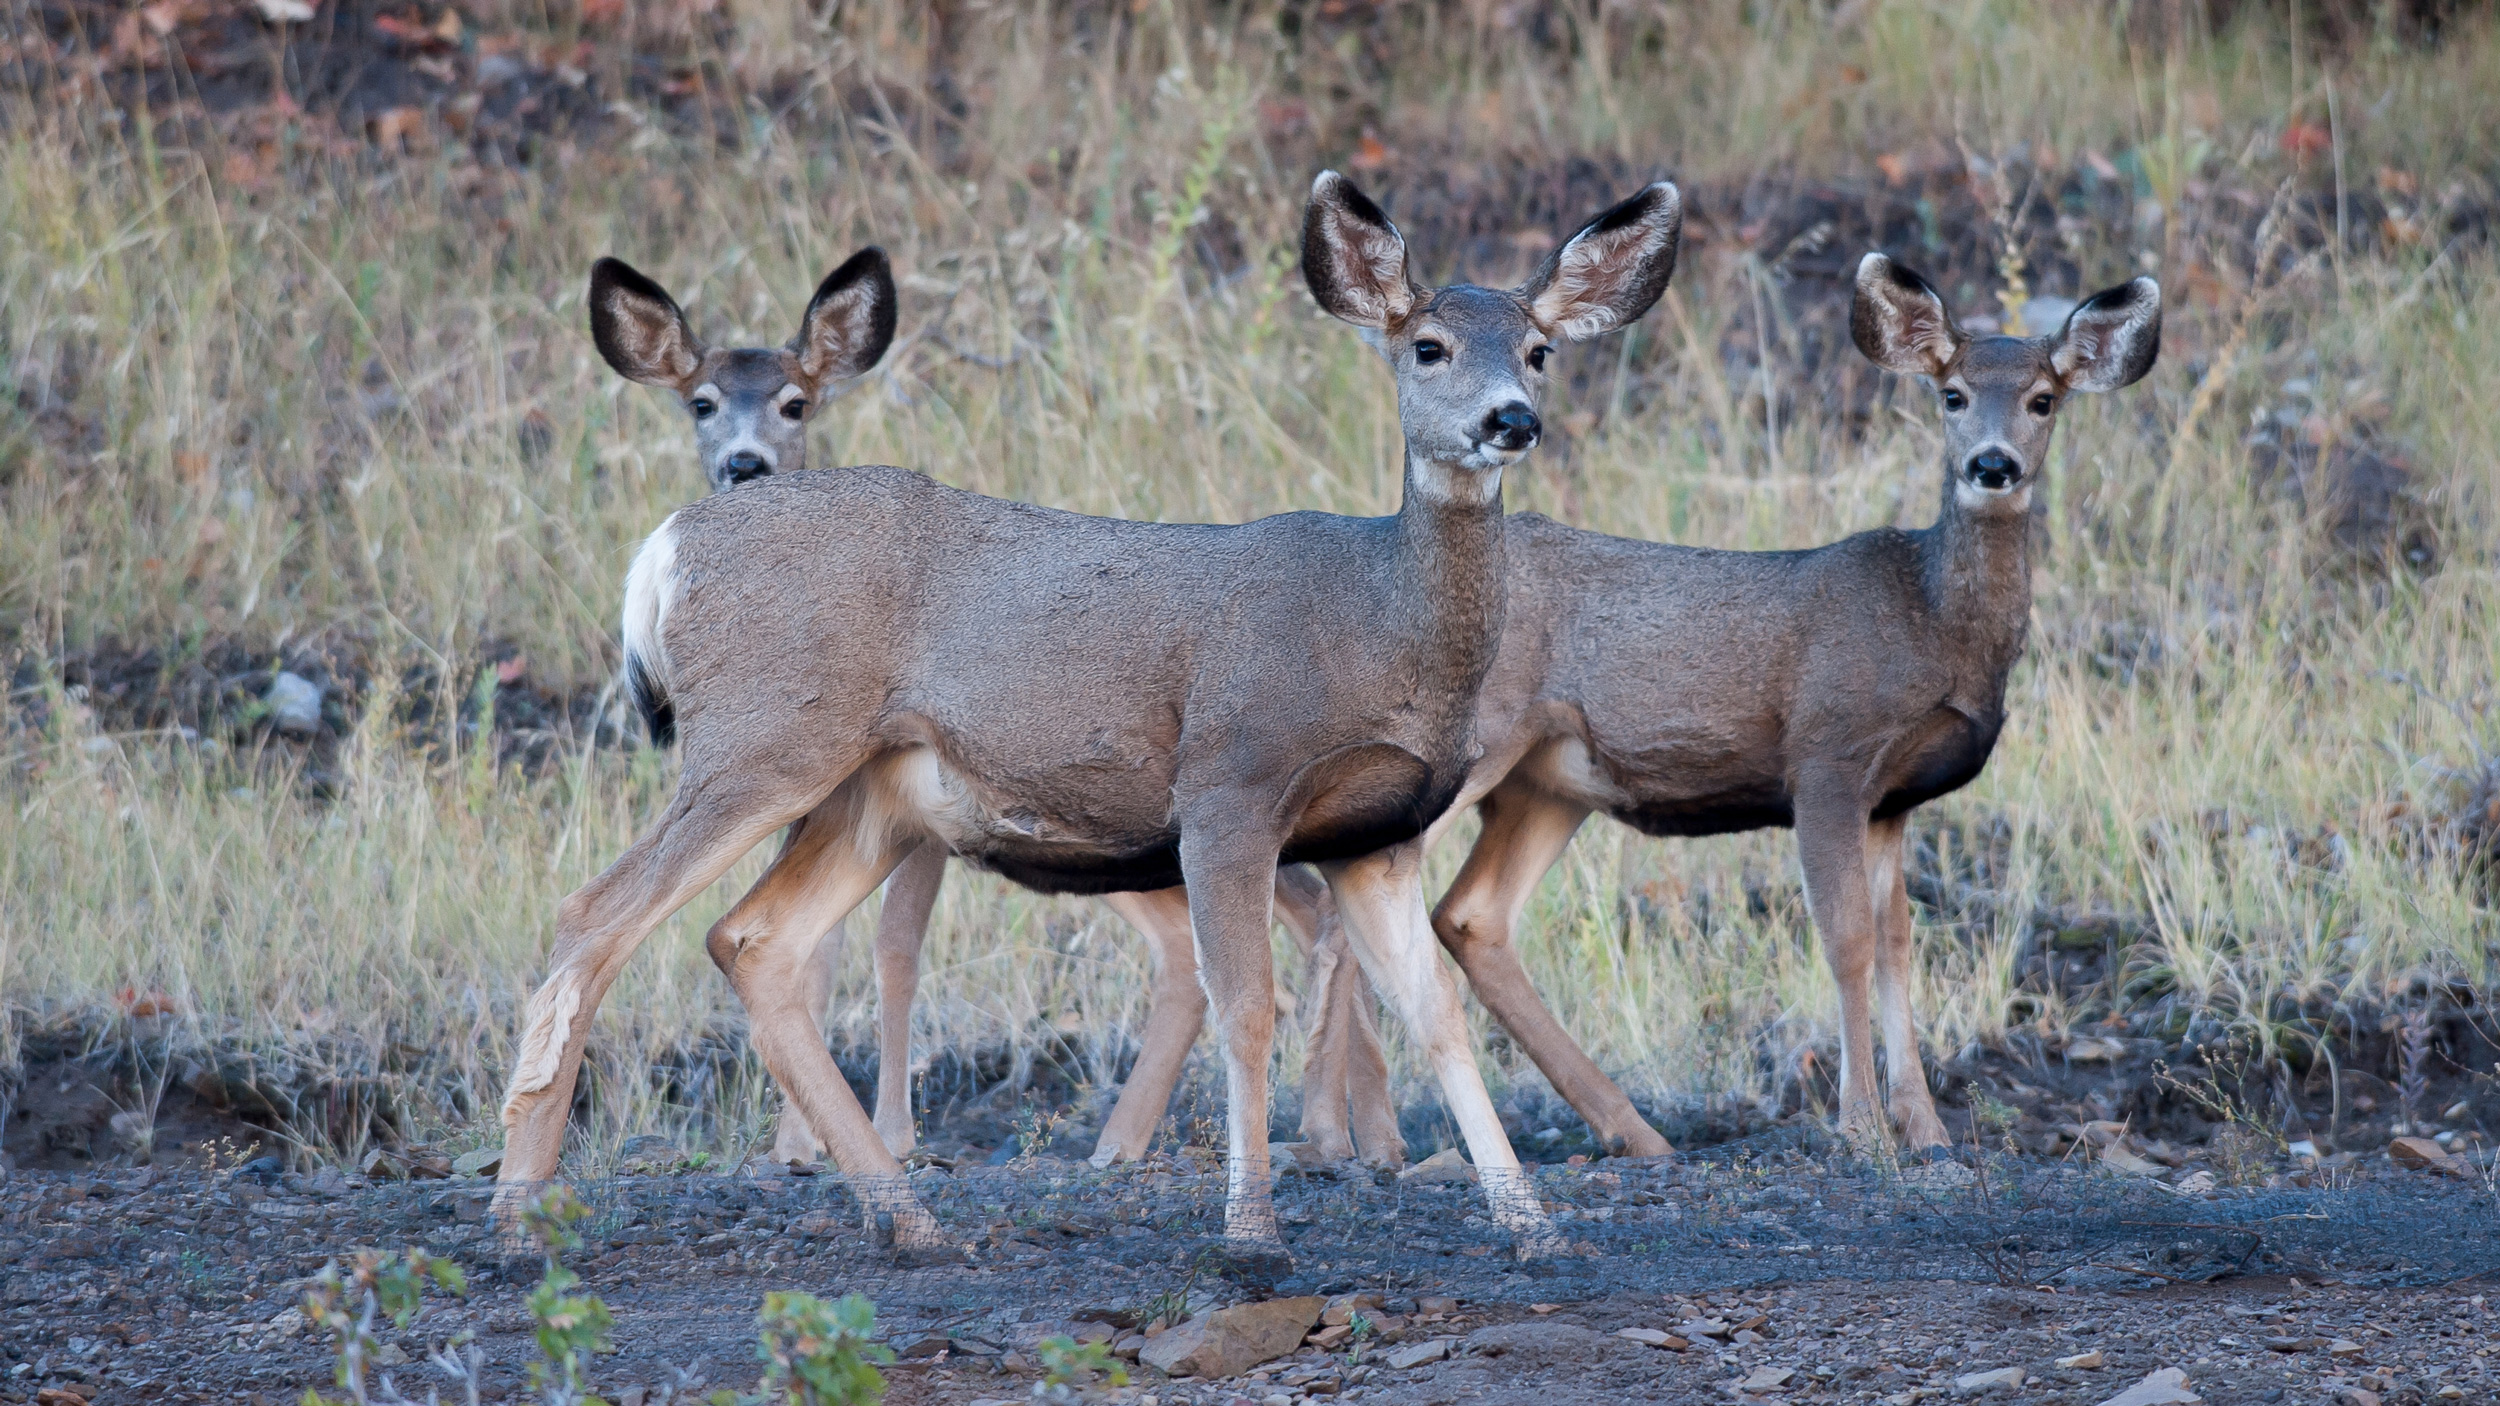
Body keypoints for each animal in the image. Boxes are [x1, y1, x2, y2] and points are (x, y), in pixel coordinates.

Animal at [585, 248, 1410, 1160]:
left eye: (795, 401)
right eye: (699, 402)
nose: (743, 462)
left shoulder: (916, 824)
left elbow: (891, 949)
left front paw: (881, 1134)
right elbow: (825, 948)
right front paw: (805, 1144)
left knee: (1284, 922)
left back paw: (1339, 1132)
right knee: (1284, 923)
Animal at [1045, 253, 2160, 1160]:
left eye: (2046, 400)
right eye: (1953, 393)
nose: (1992, 466)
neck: (1931, 623)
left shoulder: (1896, 799)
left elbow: (1895, 948)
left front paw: (1928, 1134)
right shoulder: (1830, 752)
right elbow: (1842, 937)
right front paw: (1862, 1135)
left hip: (1549, 780)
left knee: (1467, 915)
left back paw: (1618, 1133)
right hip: (1477, 753)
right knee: (1340, 906)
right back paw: (1346, 1138)